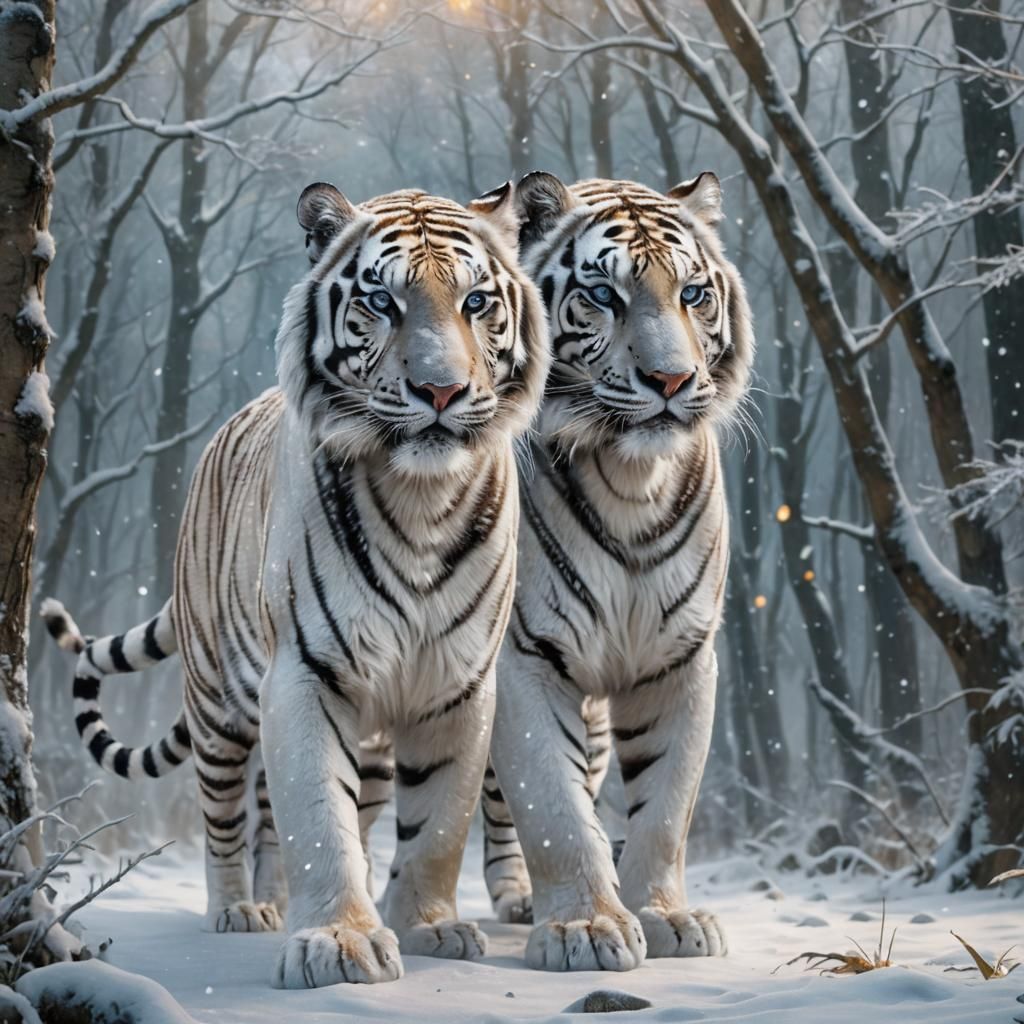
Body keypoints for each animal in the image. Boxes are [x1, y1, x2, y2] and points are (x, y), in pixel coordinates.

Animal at [41, 180, 549, 988]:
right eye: (383, 301)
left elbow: (437, 819)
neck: (423, 498)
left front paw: (429, 927)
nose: (440, 391)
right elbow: (317, 815)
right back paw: (239, 912)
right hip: (218, 705)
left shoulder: (457, 683)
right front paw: (339, 943)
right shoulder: (308, 671)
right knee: (224, 813)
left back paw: (281, 903)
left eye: (476, 302)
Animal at [479, 172, 754, 971]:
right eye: (604, 294)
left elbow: (666, 806)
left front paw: (667, 918)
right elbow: (553, 804)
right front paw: (586, 927)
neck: (634, 480)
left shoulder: (679, 657)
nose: (671, 378)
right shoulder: (525, 657)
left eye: (693, 293)